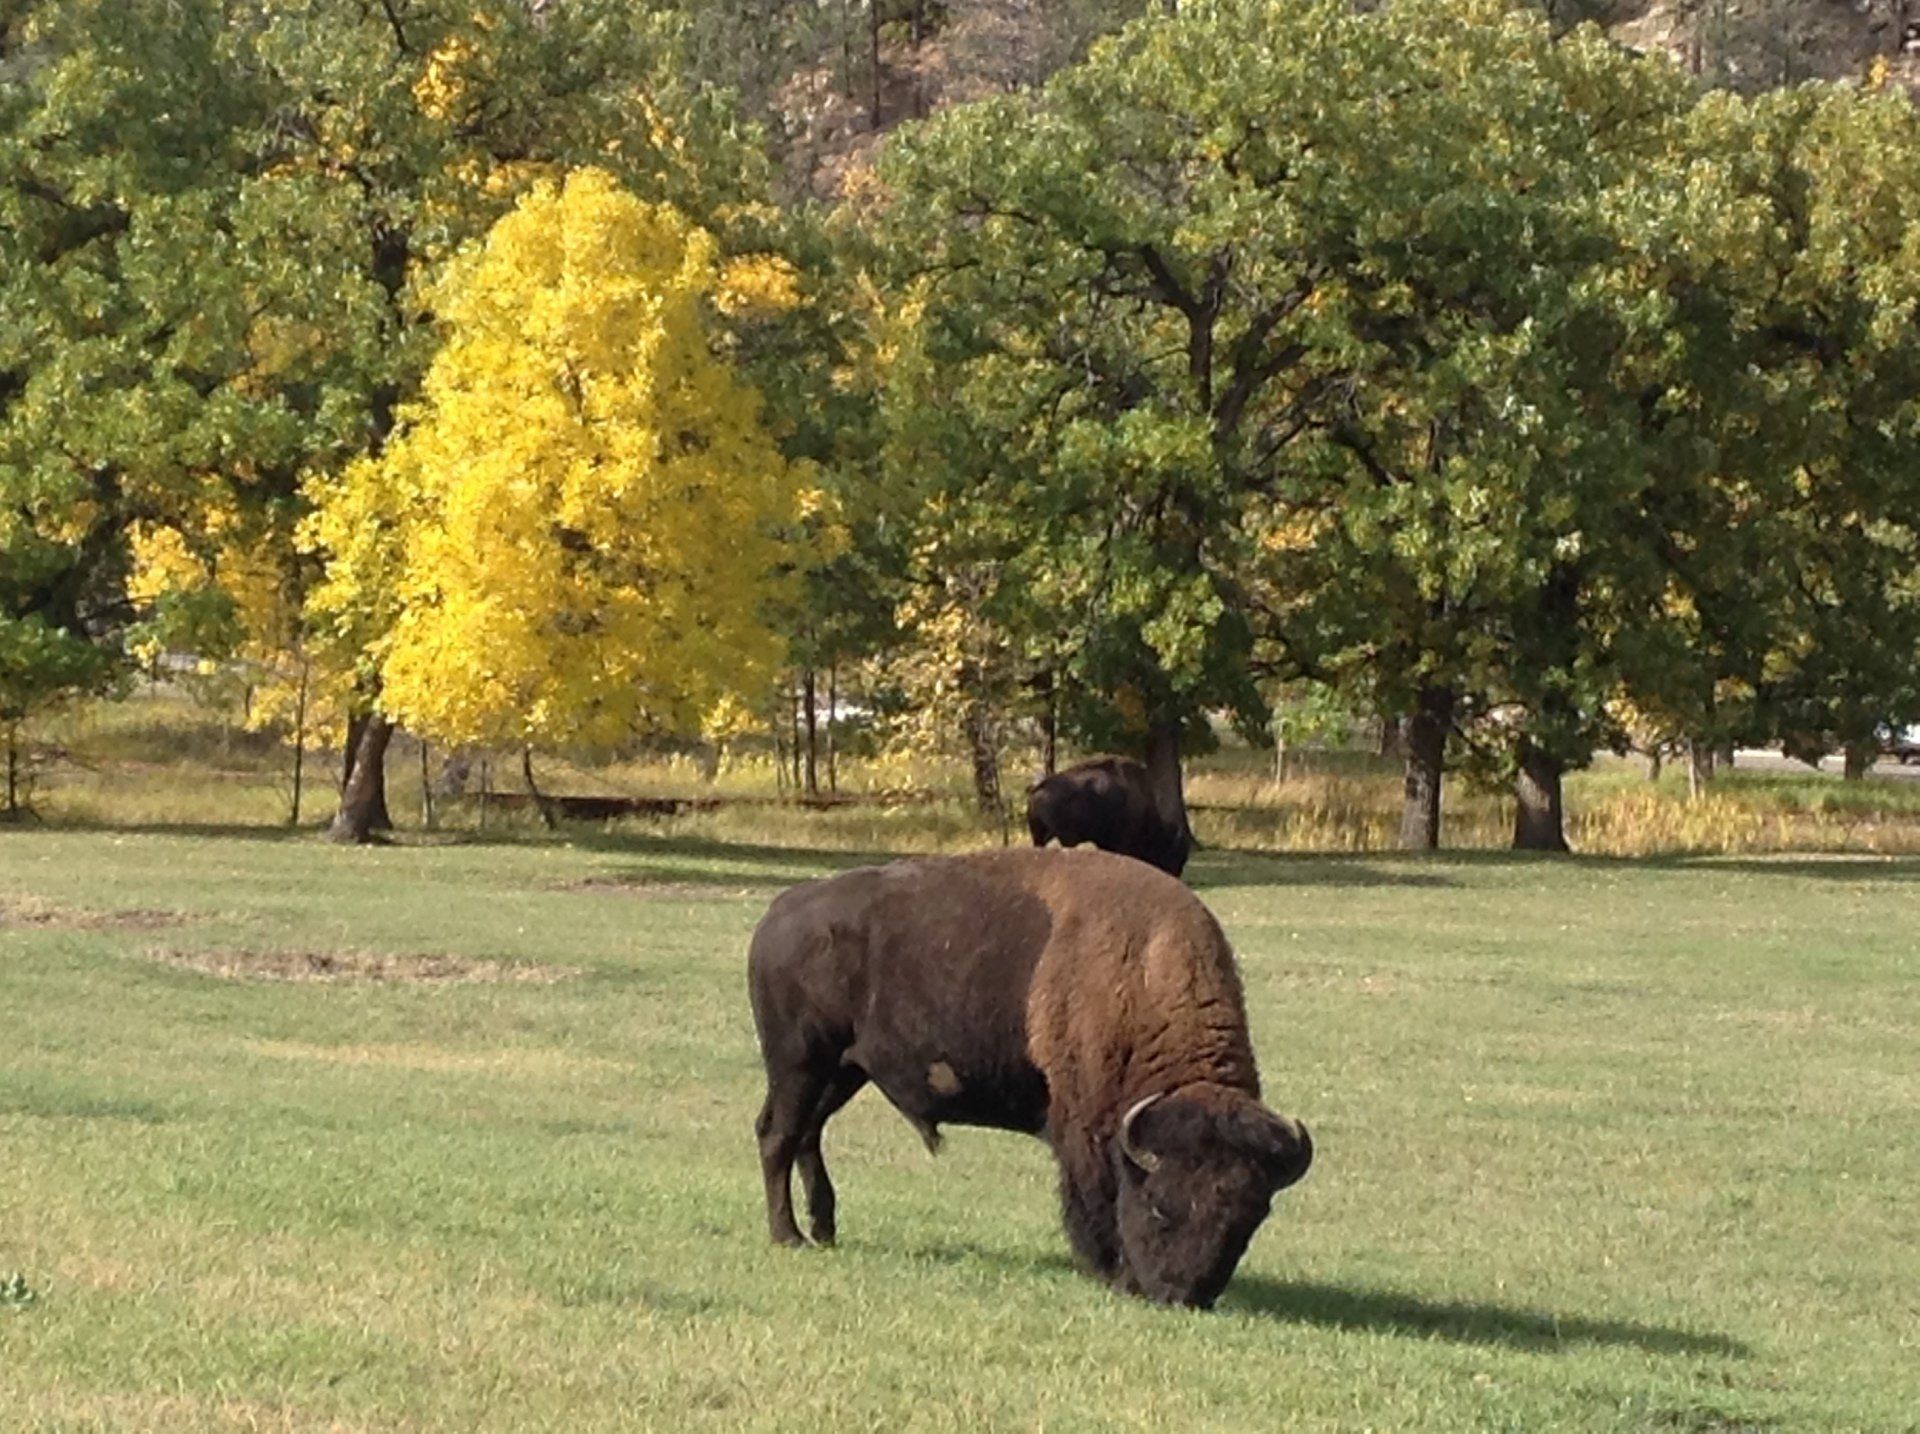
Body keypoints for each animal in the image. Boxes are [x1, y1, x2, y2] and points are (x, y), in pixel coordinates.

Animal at [748, 847, 1312, 1307]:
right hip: (799, 1064)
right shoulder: (1083, 1130)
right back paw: (787, 1236)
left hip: (841, 1072)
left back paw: (824, 1229)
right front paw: (1108, 1271)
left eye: (1248, 1221)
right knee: (778, 1135)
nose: (1182, 1297)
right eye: (1160, 1207)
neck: (1143, 973)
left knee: (807, 1134)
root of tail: (778, 913)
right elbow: (1092, 1197)